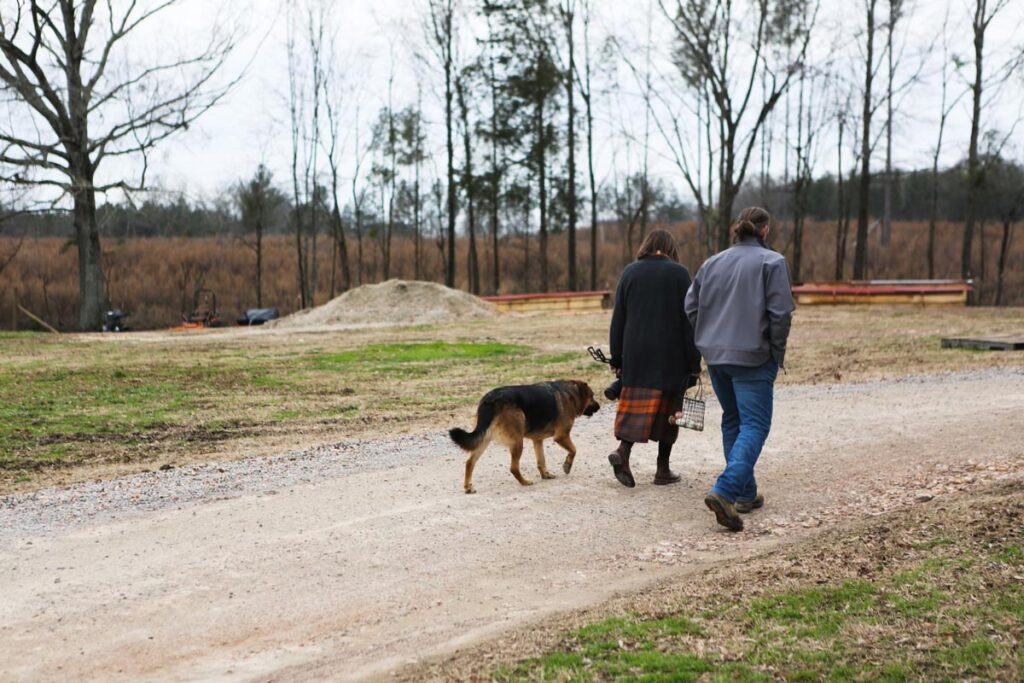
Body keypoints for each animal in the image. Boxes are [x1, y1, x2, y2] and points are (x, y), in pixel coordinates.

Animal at [450, 382, 598, 493]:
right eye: (592, 396)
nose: (599, 406)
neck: (571, 393)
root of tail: (490, 399)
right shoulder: (562, 436)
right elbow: (574, 450)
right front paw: (567, 466)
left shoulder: (537, 440)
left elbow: (541, 461)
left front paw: (545, 475)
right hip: (517, 441)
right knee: (513, 468)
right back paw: (524, 482)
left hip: (484, 439)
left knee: (470, 462)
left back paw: (468, 487)